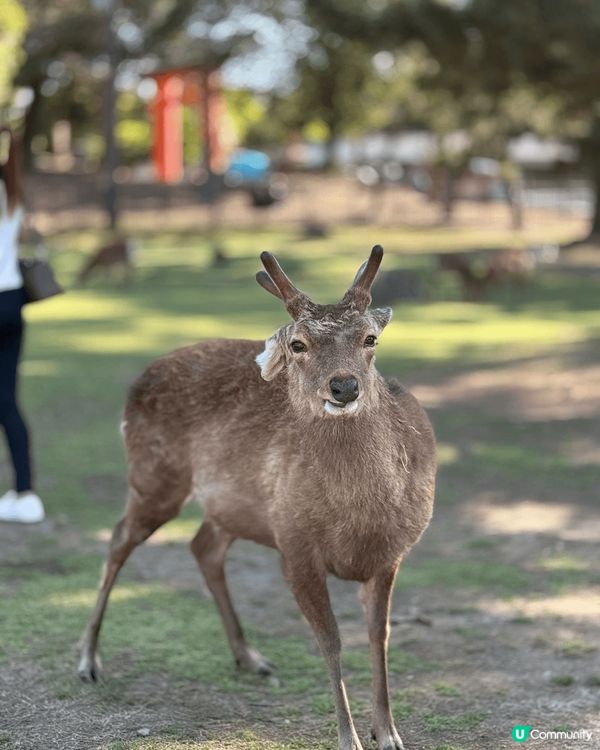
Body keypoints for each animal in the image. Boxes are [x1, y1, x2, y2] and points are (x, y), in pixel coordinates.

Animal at [77, 245, 437, 750]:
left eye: (370, 339)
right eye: (298, 344)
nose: (344, 386)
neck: (361, 519)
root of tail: (141, 376)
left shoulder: (391, 554)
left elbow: (378, 635)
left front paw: (388, 733)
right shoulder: (295, 545)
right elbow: (330, 640)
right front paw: (349, 738)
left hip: (232, 507)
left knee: (202, 546)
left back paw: (249, 656)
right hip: (154, 476)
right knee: (118, 540)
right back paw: (88, 660)